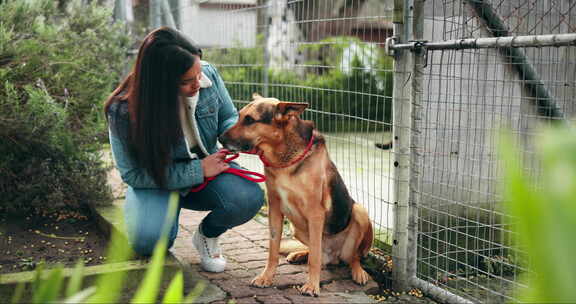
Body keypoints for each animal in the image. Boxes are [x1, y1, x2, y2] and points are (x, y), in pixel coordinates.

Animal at [219, 94, 374, 296]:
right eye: (239, 117)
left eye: (250, 120)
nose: (220, 138)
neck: (283, 158)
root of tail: (333, 255)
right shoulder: (275, 209)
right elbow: (273, 250)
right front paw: (266, 277)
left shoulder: (315, 213)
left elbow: (314, 258)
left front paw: (312, 286)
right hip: (296, 228)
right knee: (319, 254)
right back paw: (299, 254)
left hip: (359, 212)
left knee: (351, 257)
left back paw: (358, 272)